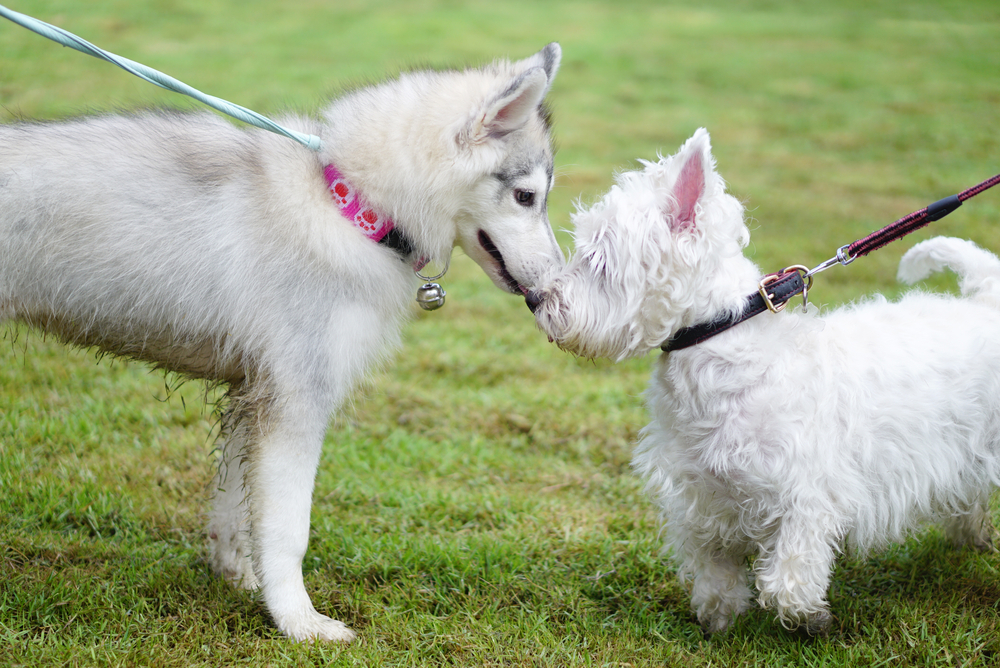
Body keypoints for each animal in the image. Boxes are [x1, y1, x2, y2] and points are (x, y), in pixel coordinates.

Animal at [0, 44, 568, 640]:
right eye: (526, 196)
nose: (552, 292)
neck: (346, 205)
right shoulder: (296, 400)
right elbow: (288, 529)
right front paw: (299, 622)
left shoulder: (251, 394)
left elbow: (234, 510)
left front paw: (239, 581)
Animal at [532, 128, 1000, 636]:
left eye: (598, 259)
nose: (535, 299)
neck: (717, 344)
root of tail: (985, 302)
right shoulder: (703, 496)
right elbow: (715, 568)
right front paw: (720, 616)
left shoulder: (807, 494)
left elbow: (786, 580)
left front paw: (812, 617)